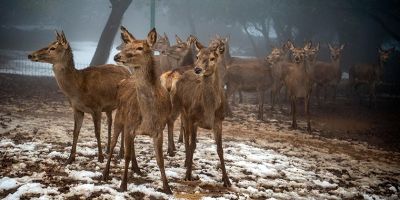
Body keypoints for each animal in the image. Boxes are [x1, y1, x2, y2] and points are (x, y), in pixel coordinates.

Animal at [28, 30, 131, 164]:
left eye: (53, 48)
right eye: (49, 44)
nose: (30, 55)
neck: (78, 88)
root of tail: (128, 71)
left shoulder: (97, 107)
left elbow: (97, 132)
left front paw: (100, 157)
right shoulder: (77, 109)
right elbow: (75, 132)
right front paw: (70, 158)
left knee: (123, 124)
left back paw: (121, 153)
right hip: (109, 107)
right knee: (111, 121)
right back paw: (108, 149)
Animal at [101, 26, 172, 194]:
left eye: (140, 48)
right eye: (126, 46)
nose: (117, 56)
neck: (148, 116)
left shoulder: (159, 130)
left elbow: (160, 160)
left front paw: (167, 188)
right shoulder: (129, 125)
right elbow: (125, 155)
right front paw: (123, 185)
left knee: (132, 146)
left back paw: (137, 168)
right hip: (119, 119)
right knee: (112, 145)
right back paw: (105, 173)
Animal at [171, 39, 233, 188]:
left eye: (212, 58)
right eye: (197, 56)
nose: (197, 69)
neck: (209, 109)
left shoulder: (219, 121)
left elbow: (220, 149)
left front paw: (227, 180)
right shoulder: (193, 119)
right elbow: (193, 145)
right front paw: (188, 175)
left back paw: (187, 162)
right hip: (180, 109)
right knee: (185, 136)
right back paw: (186, 162)